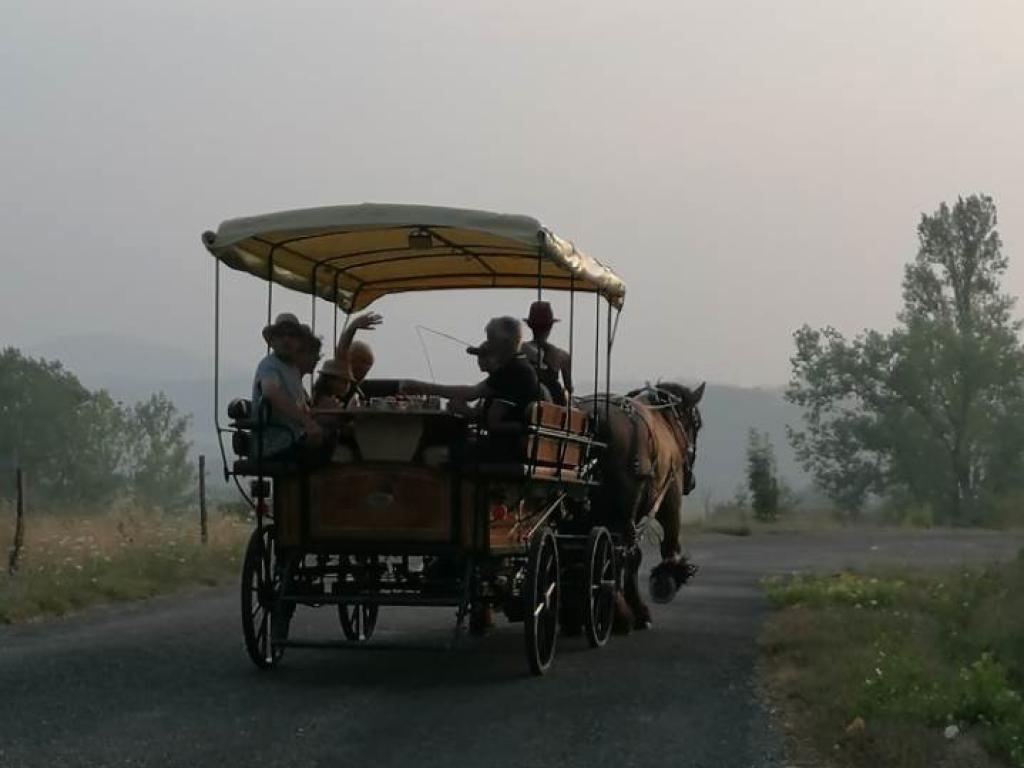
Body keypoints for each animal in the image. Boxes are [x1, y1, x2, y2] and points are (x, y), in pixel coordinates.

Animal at [577, 380, 704, 630]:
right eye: (697, 425)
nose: (691, 481)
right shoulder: (669, 496)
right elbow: (661, 544)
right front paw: (667, 578)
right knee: (617, 554)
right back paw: (620, 613)